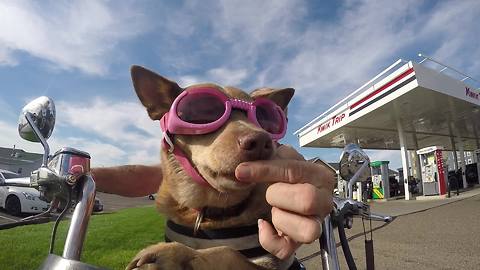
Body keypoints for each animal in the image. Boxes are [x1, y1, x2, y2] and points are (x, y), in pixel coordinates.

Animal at [125, 66, 294, 270]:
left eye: (263, 118)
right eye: (204, 111)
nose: (261, 142)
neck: (207, 212)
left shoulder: (271, 263)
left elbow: (227, 251)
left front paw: (174, 254)